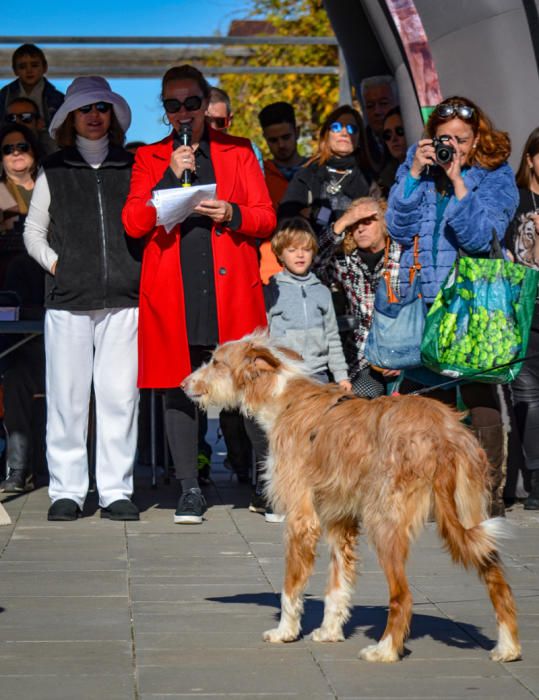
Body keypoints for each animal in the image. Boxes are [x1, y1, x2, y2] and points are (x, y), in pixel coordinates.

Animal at [184, 334, 520, 660]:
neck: (283, 399)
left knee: (403, 596)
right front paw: (329, 632)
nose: (183, 384)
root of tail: (442, 434)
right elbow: (338, 586)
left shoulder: (301, 519)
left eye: (216, 362)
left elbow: (290, 588)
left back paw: (385, 650)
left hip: (384, 523)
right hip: (471, 516)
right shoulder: (339, 520)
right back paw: (508, 648)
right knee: (498, 582)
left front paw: (285, 632)